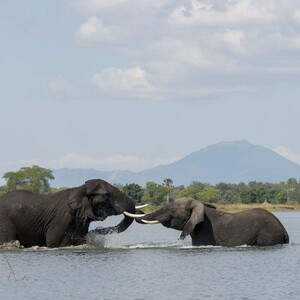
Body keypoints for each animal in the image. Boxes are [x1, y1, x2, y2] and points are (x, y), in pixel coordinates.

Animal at [0, 179, 138, 247]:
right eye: (106, 197)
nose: (95, 231)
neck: (80, 189)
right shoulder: (61, 220)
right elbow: (56, 243)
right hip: (4, 220)